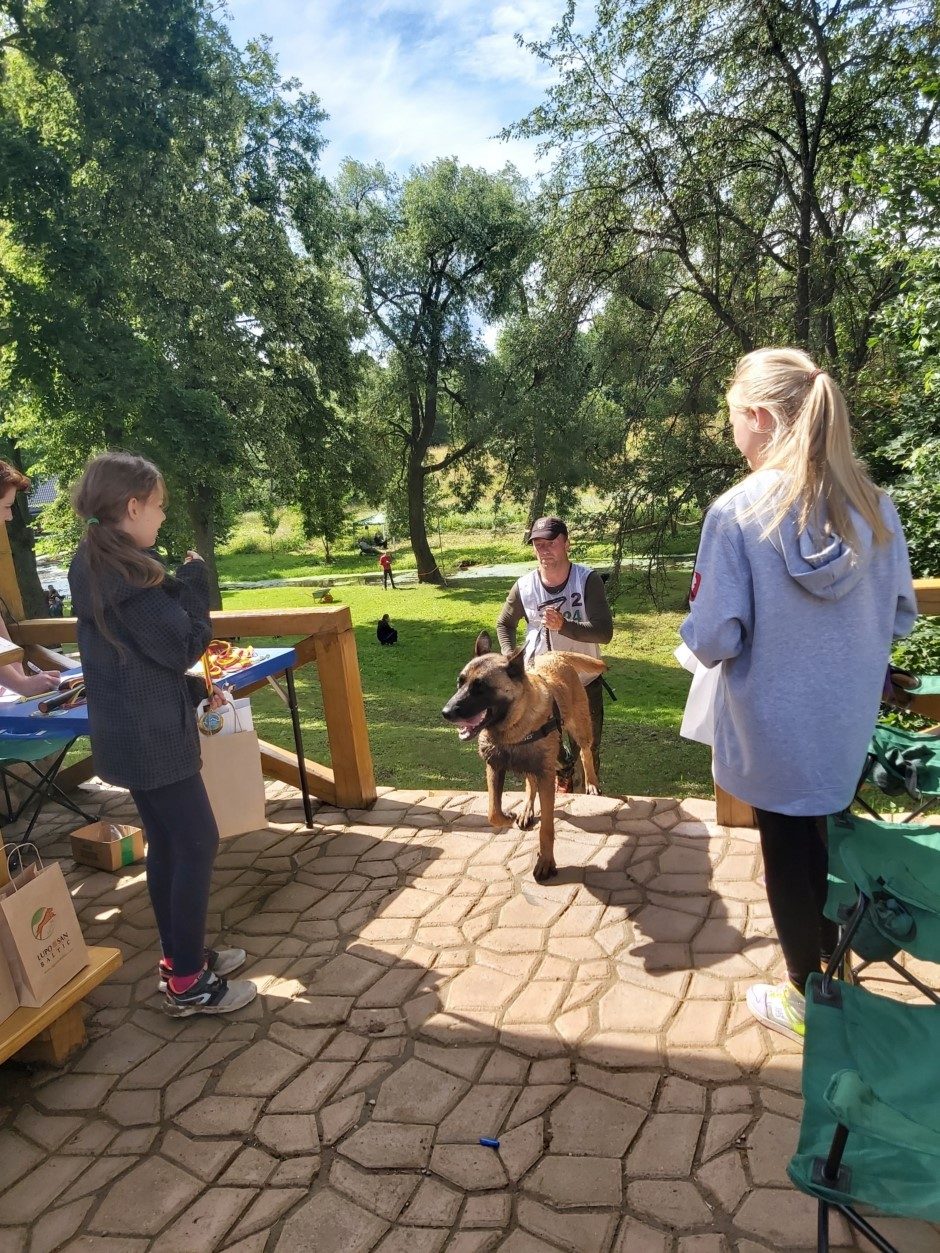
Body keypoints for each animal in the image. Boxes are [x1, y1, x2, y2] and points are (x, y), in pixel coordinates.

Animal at [443, 636, 611, 882]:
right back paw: (526, 809)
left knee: (585, 752)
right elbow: (493, 812)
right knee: (530, 783)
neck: (514, 728)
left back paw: (591, 783)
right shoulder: (494, 767)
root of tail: (554, 655)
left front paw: (546, 862)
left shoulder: (546, 775)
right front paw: (509, 817)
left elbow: (547, 828)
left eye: (480, 687)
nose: (445, 712)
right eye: (460, 683)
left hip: (578, 728)